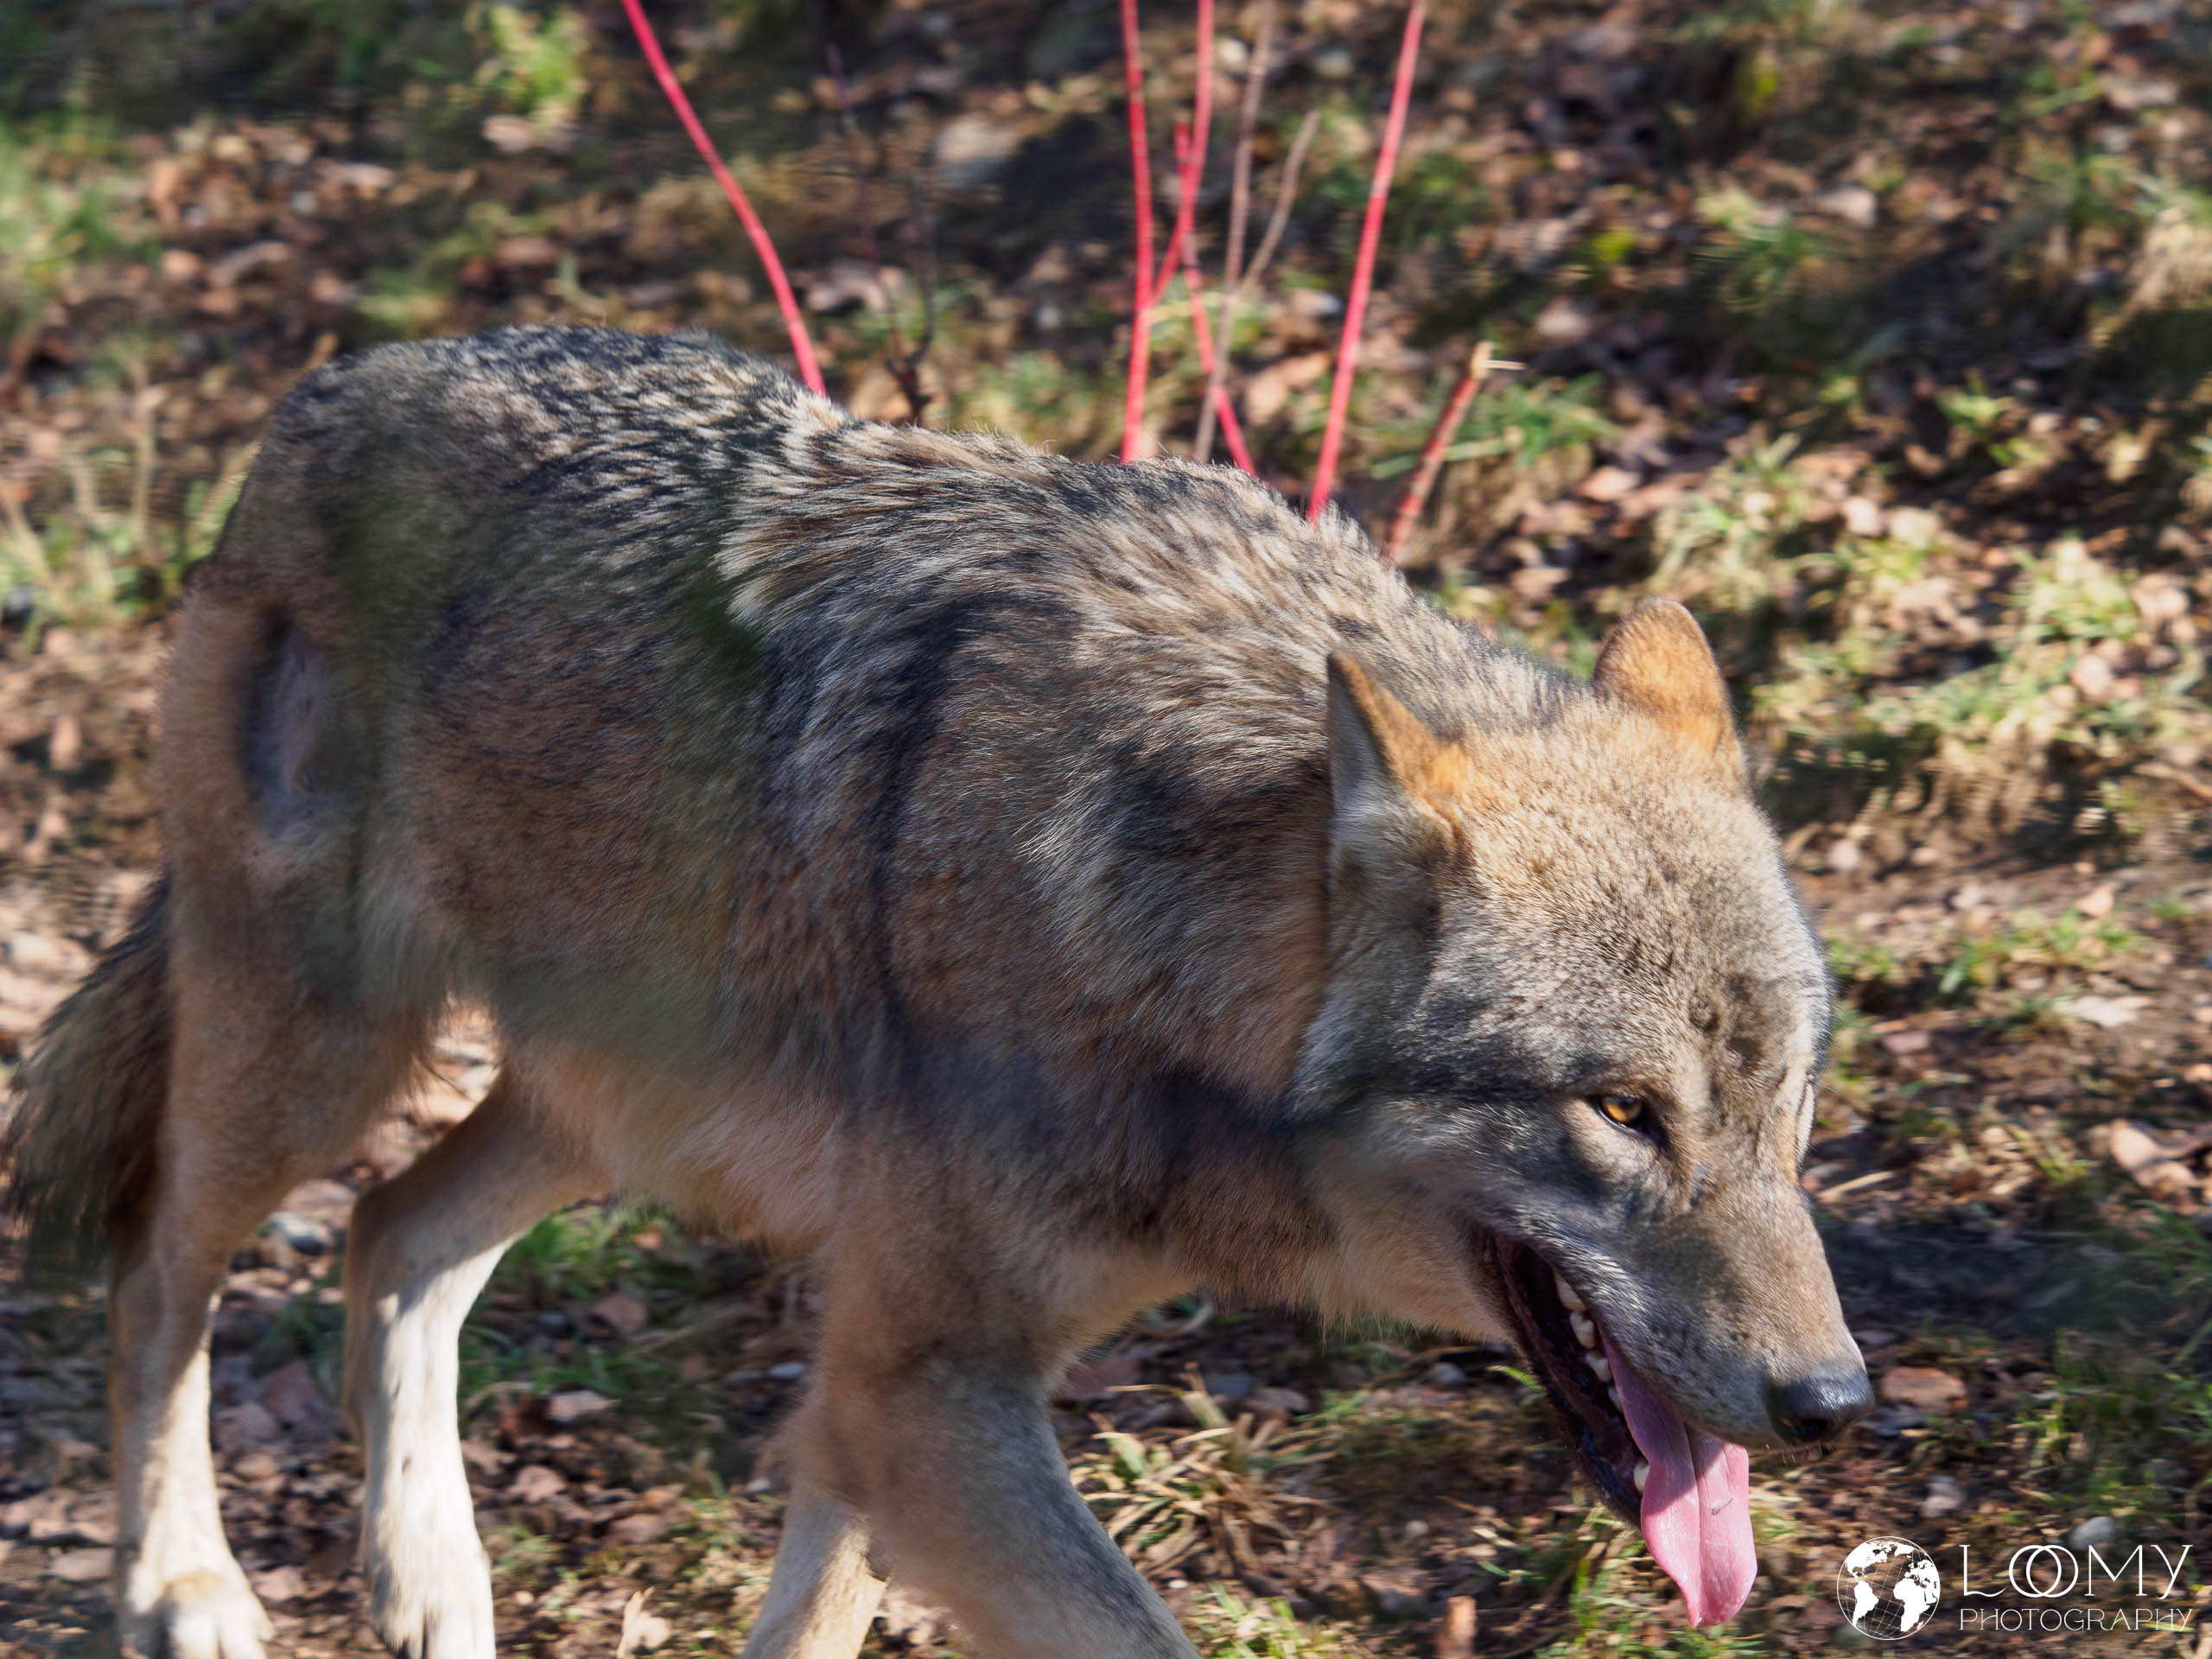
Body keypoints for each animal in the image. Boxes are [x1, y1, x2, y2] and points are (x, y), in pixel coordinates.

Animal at [3, 325, 1869, 1659]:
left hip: (606, 1111)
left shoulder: (886, 1380)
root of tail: (317, 396)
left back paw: (429, 1585)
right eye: (1620, 1113)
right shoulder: (918, 1385)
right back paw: (182, 1587)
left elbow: (813, 1613)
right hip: (319, 1054)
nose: (1835, 1405)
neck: (1156, 925)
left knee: (394, 1240)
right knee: (158, 1269)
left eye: (1785, 1105)